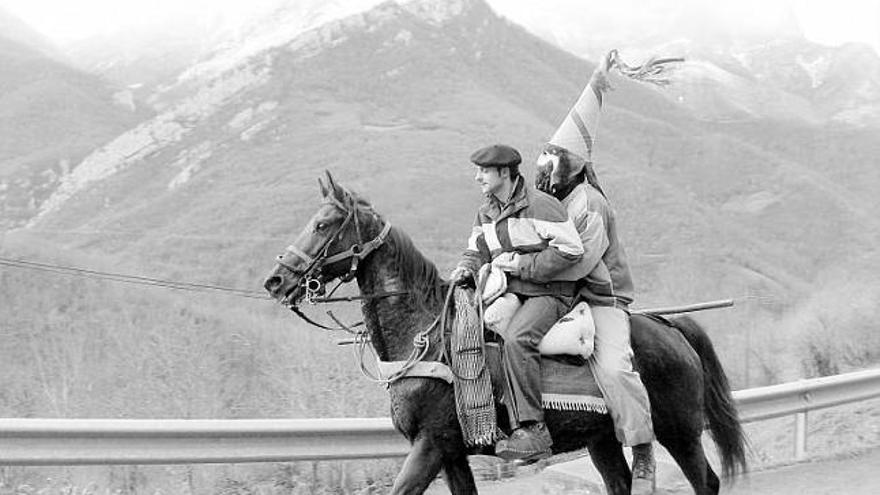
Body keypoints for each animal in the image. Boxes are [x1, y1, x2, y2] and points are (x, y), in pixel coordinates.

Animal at [264, 171, 744, 495]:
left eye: (323, 224)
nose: (276, 280)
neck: (428, 341)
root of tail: (672, 327)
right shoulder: (451, 453)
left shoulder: (430, 446)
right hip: (603, 440)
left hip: (679, 431)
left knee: (707, 482)